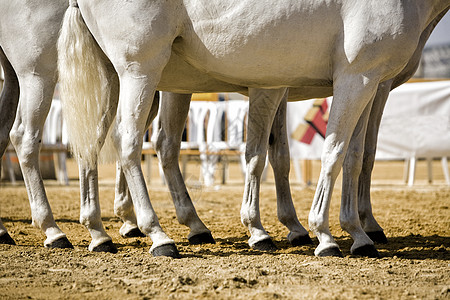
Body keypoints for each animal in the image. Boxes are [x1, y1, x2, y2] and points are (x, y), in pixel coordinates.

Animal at [57, 0, 450, 258]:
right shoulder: (361, 77)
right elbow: (334, 154)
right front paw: (326, 233)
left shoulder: (356, 81)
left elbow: (349, 156)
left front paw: (351, 229)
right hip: (140, 69)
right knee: (128, 143)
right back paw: (156, 235)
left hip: (115, 77)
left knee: (98, 143)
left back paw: (101, 231)